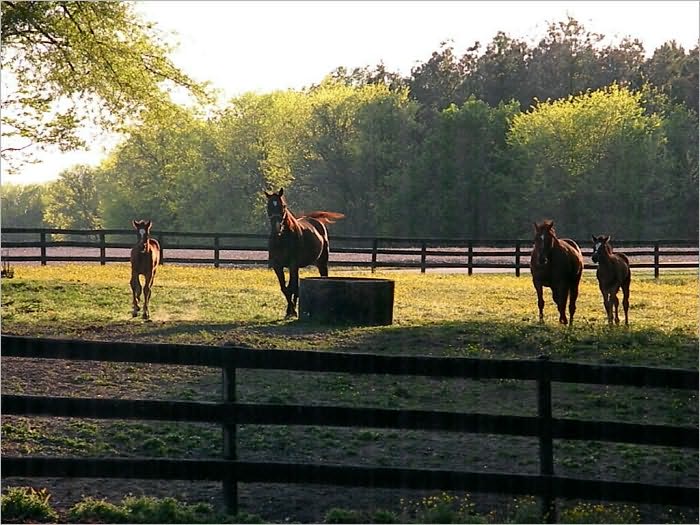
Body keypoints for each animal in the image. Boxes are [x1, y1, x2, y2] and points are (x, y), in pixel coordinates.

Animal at [264, 188, 345, 318]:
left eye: (283, 206)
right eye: (268, 206)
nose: (277, 228)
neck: (282, 238)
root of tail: (316, 220)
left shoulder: (292, 265)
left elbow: (291, 287)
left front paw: (293, 311)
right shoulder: (277, 266)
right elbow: (285, 288)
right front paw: (290, 311)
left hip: (321, 263)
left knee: (321, 277)